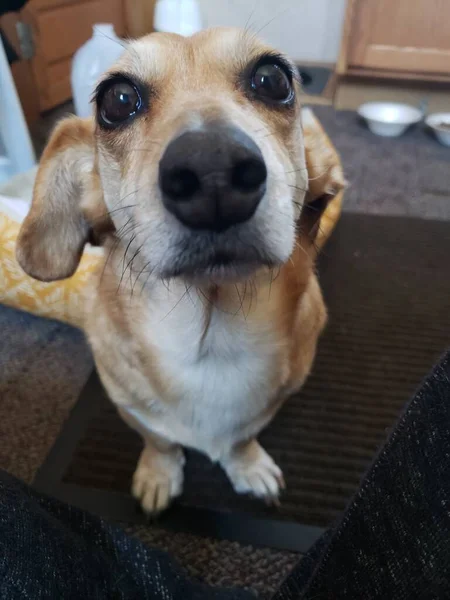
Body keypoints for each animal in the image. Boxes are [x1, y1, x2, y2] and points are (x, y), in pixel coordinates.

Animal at [14, 28, 344, 512]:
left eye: (273, 79)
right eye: (117, 99)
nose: (213, 170)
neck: (210, 345)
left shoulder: (267, 407)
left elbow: (242, 438)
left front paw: (246, 464)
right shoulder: (130, 406)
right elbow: (160, 440)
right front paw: (158, 473)